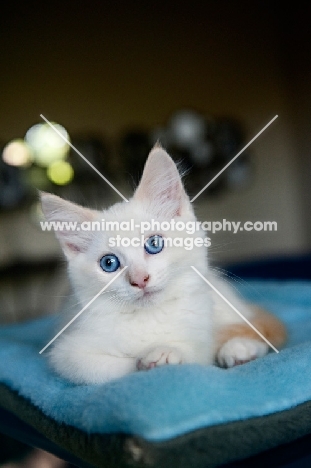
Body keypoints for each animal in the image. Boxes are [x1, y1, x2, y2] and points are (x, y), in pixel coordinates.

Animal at [41, 146, 288, 384]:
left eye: (154, 244)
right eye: (109, 263)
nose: (140, 279)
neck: (152, 316)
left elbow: (198, 353)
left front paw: (167, 351)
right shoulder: (67, 352)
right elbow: (107, 368)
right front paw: (148, 358)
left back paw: (240, 348)